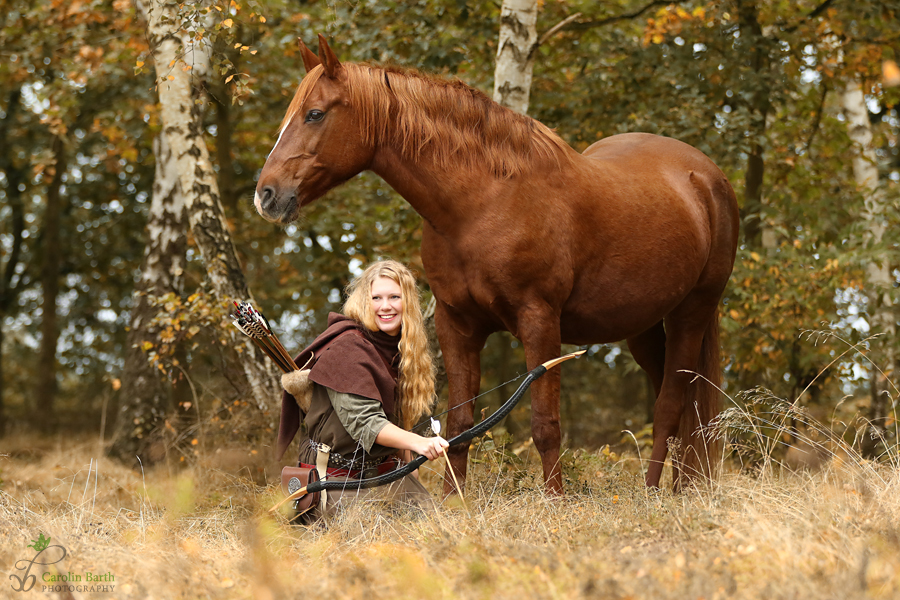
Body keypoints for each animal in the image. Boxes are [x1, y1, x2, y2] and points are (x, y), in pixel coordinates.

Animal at [253, 36, 740, 492]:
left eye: (315, 114)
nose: (266, 195)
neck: (482, 203)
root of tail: (706, 176)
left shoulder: (540, 322)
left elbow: (545, 425)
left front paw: (555, 502)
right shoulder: (457, 324)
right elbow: (459, 424)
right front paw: (453, 503)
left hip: (692, 312)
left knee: (671, 405)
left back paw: (656, 492)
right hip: (642, 325)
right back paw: (680, 487)